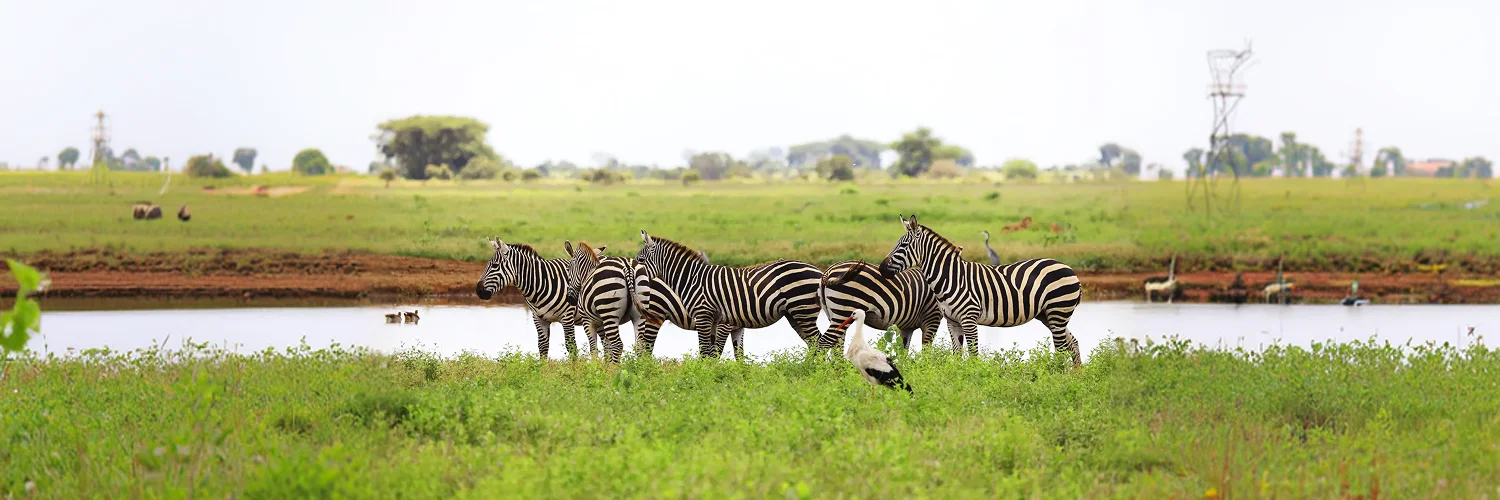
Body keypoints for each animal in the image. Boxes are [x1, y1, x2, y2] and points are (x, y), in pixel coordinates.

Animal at [637, 231, 825, 359]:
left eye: (640, 261)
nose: (635, 282)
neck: (692, 279)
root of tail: (819, 272)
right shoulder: (720, 322)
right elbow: (724, 354)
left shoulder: (708, 318)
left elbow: (710, 352)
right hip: (795, 314)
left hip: (802, 310)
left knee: (819, 342)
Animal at [878, 215, 1083, 367]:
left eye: (903, 246)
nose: (881, 268)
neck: (950, 277)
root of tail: (1069, 268)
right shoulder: (952, 321)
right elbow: (957, 355)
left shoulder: (969, 319)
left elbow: (973, 355)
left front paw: (974, 379)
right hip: (1049, 315)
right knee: (1072, 342)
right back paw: (1076, 377)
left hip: (1058, 311)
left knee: (1061, 348)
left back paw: (1057, 377)